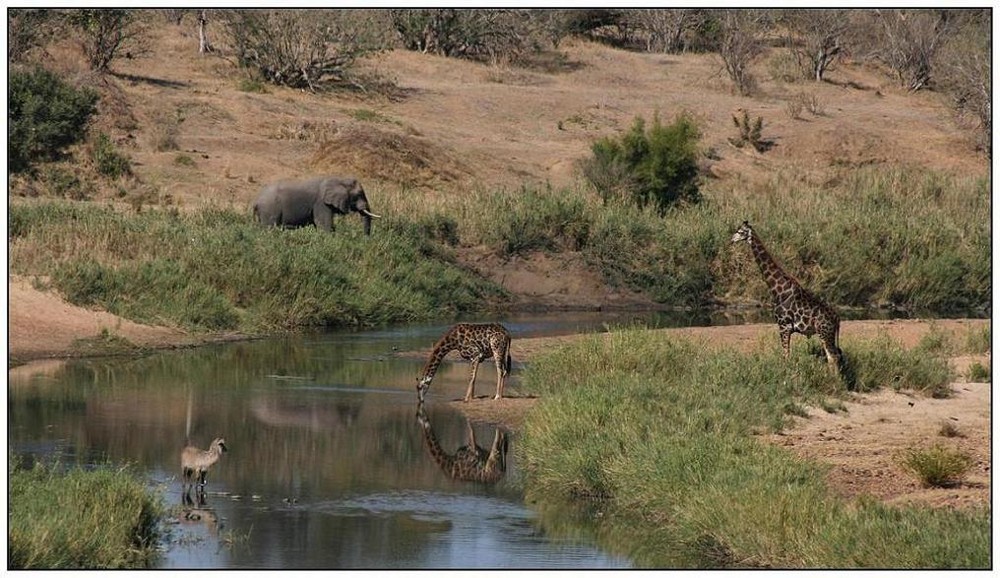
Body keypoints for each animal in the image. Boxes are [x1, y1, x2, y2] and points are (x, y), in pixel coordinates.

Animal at [254, 178, 382, 236]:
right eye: (359, 194)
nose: (365, 239)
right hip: (270, 210)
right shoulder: (321, 204)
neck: (338, 179)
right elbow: (324, 225)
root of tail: (256, 201)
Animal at [728, 220, 844, 368]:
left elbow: (785, 356)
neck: (778, 290)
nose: (732, 239)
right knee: (836, 356)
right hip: (828, 335)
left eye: (740, 231)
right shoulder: (786, 328)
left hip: (824, 333)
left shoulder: (783, 326)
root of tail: (837, 318)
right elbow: (787, 355)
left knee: (833, 357)